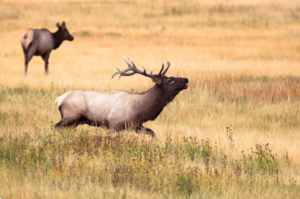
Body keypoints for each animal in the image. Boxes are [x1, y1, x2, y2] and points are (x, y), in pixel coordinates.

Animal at [54, 55, 188, 138]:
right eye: (170, 80)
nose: (186, 79)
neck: (139, 110)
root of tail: (58, 99)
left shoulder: (135, 126)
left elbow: (152, 133)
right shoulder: (114, 124)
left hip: (75, 122)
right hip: (70, 116)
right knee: (56, 127)